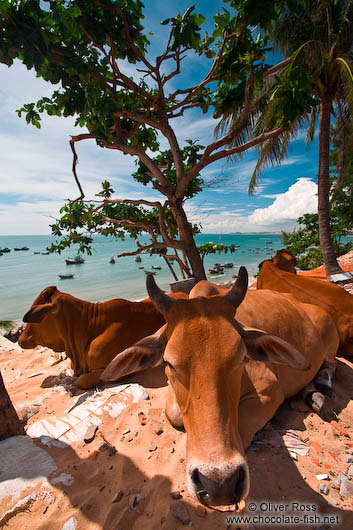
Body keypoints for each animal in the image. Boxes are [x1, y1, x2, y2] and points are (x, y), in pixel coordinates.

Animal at [100, 268, 336, 508]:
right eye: (169, 363)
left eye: (242, 357)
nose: (219, 485)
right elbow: (174, 413)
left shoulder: (268, 392)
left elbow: (241, 426)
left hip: (330, 341)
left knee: (330, 365)